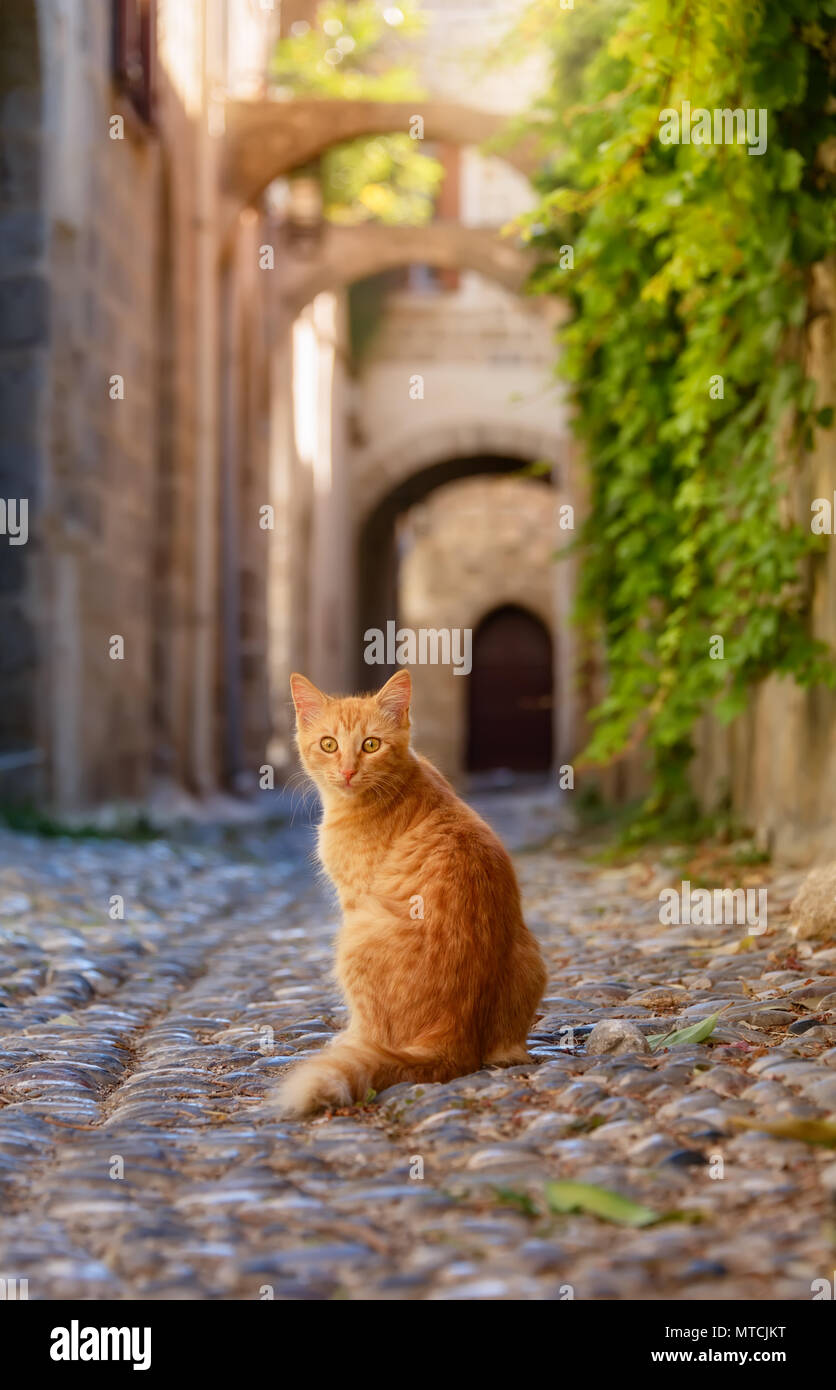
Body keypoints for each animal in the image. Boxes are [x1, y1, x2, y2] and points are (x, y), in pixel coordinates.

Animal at [276, 664, 545, 1117]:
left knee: (373, 1034)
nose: (347, 771)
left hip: (354, 937)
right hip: (532, 956)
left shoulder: (352, 899)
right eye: (329, 744)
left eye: (370, 744)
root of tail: (456, 1033)